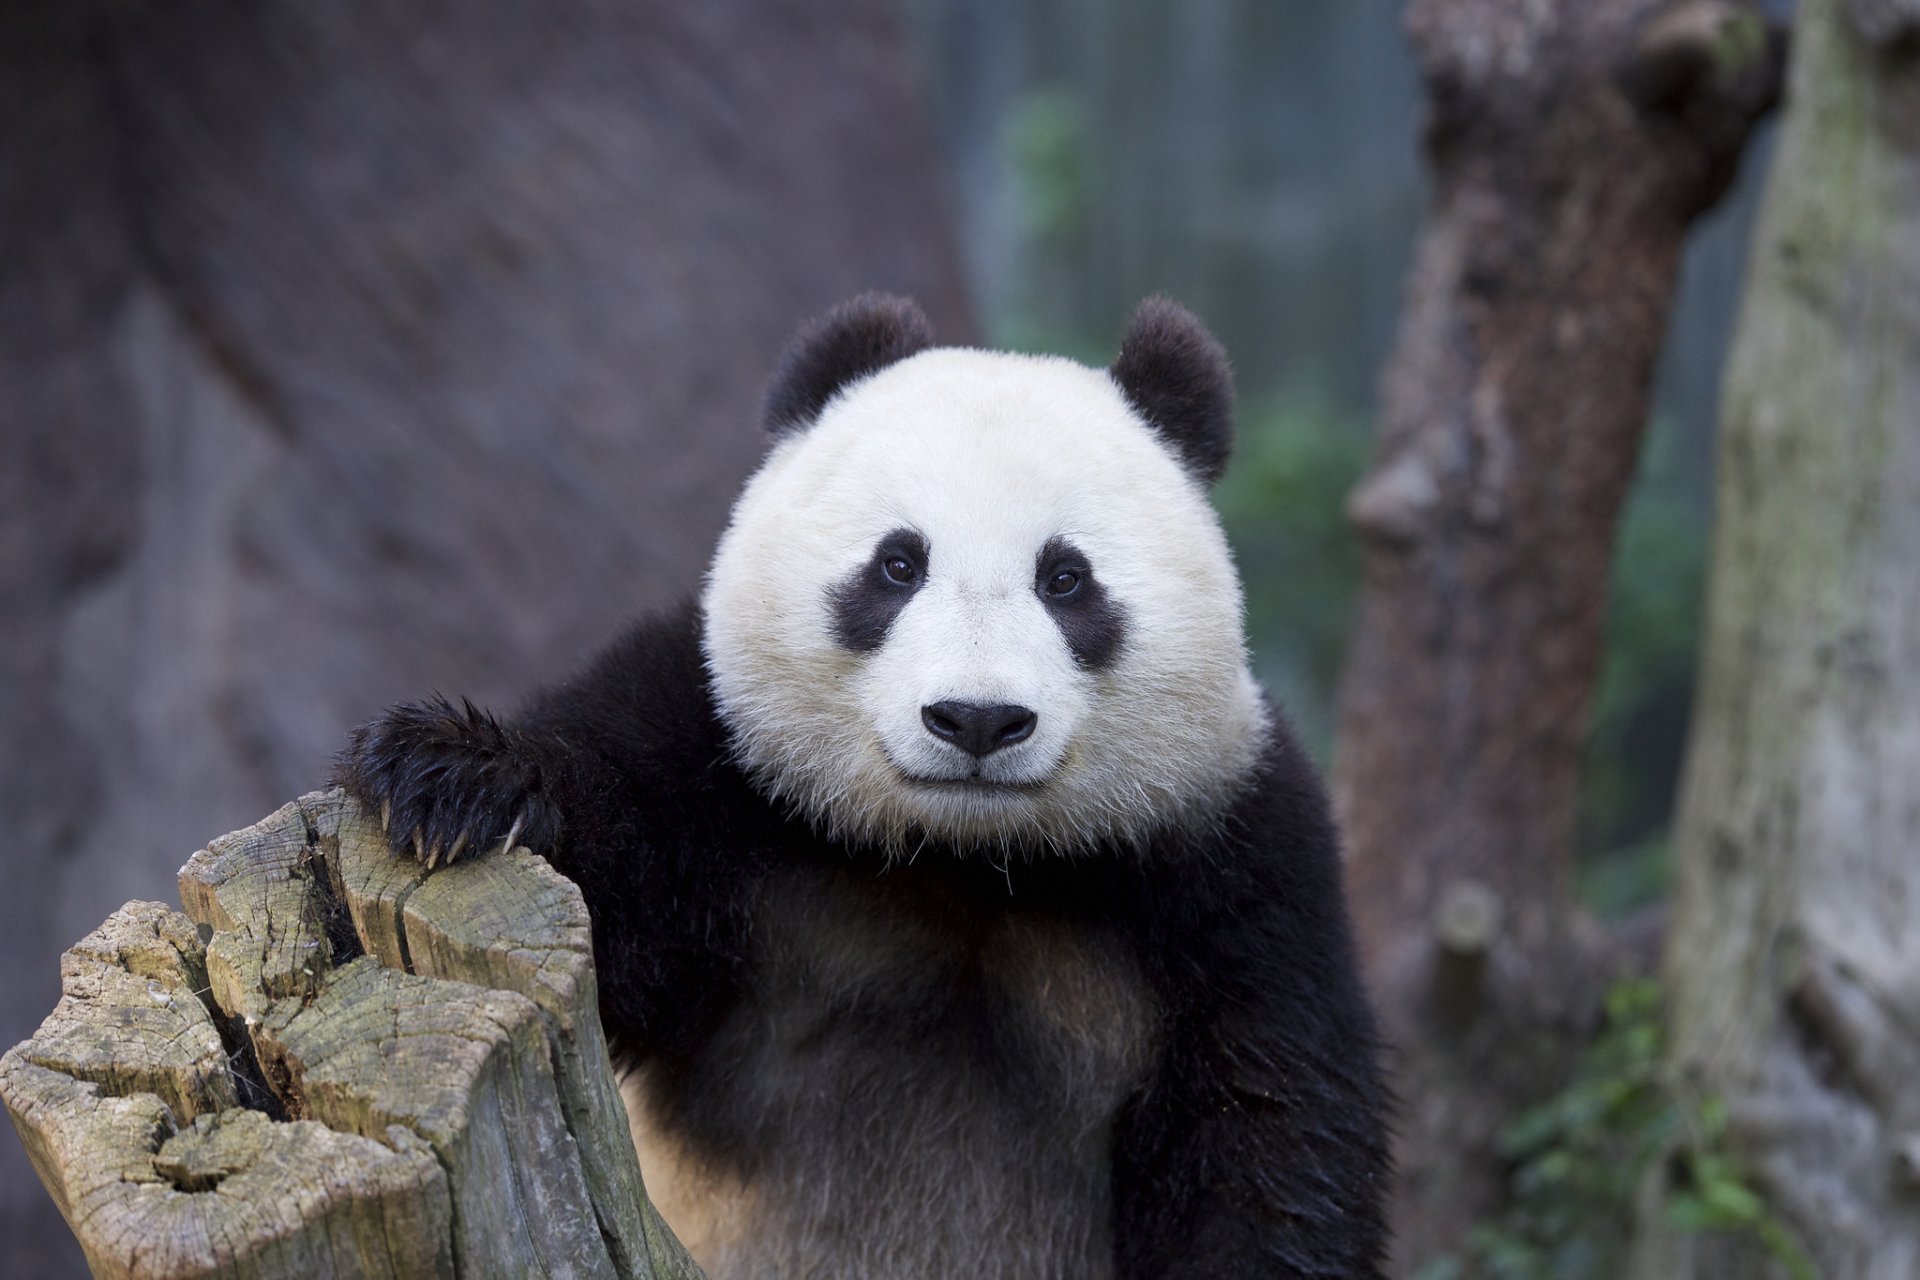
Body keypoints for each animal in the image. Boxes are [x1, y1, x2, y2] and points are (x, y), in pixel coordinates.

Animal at [336, 294, 1390, 1280]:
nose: (976, 720)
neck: (965, 857)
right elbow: (613, 879)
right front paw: (448, 777)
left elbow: (1268, 1133)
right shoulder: (718, 761)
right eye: (897, 563)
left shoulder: (1234, 866)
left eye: (1066, 578)